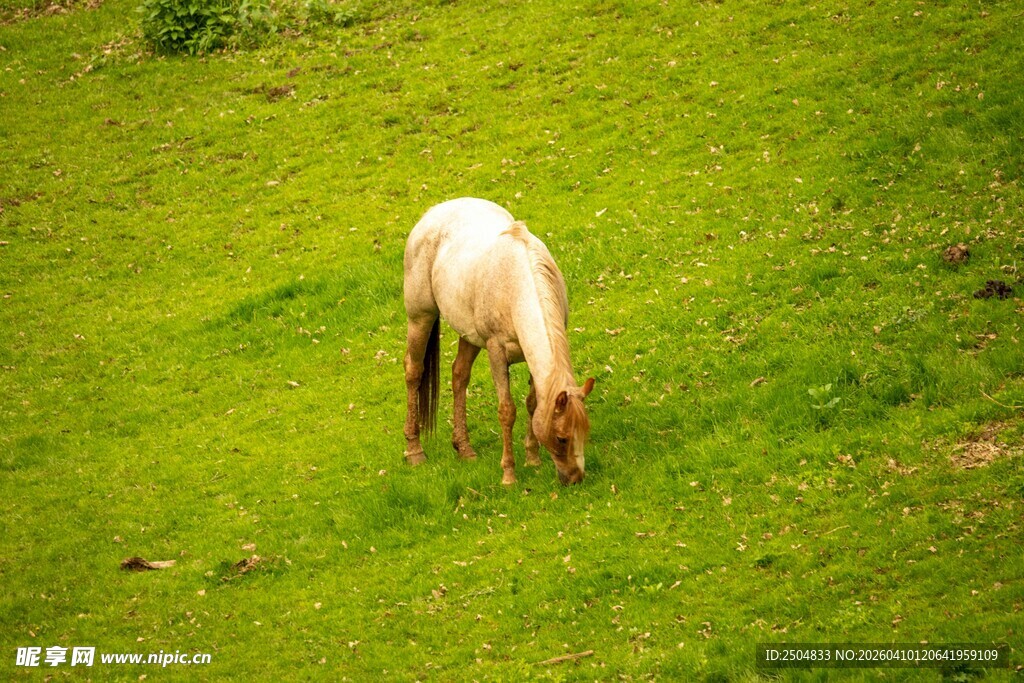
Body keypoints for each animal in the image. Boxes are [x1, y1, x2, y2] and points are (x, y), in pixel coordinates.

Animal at [402, 197, 595, 486]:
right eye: (562, 438)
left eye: (585, 432)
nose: (574, 478)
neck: (517, 286)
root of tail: (432, 212)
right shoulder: (496, 352)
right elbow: (507, 410)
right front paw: (509, 474)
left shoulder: (530, 355)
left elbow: (533, 403)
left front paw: (532, 458)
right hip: (420, 318)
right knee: (413, 372)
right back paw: (414, 451)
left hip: (468, 335)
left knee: (459, 375)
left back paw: (464, 448)